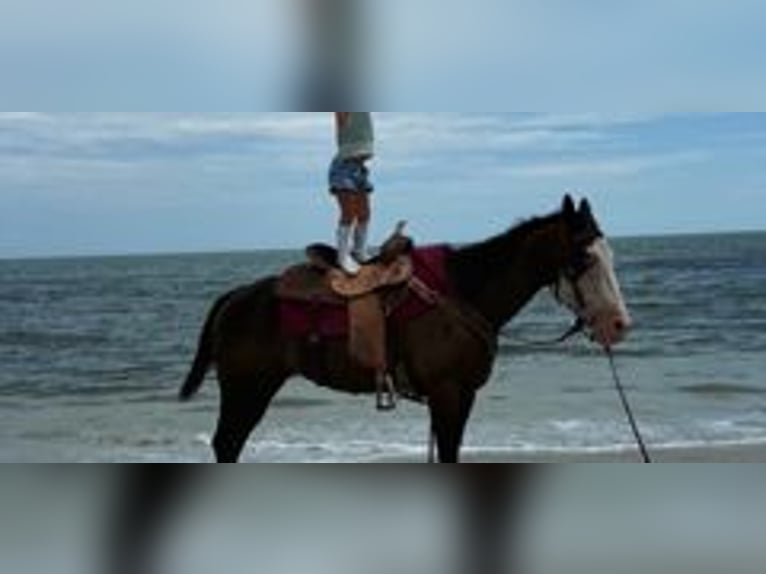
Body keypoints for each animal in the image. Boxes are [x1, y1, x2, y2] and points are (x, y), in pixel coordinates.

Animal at [180, 195, 632, 463]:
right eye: (584, 259)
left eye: (609, 254)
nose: (618, 324)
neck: (463, 293)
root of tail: (235, 297)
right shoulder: (449, 394)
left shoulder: (453, 397)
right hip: (247, 390)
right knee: (227, 443)